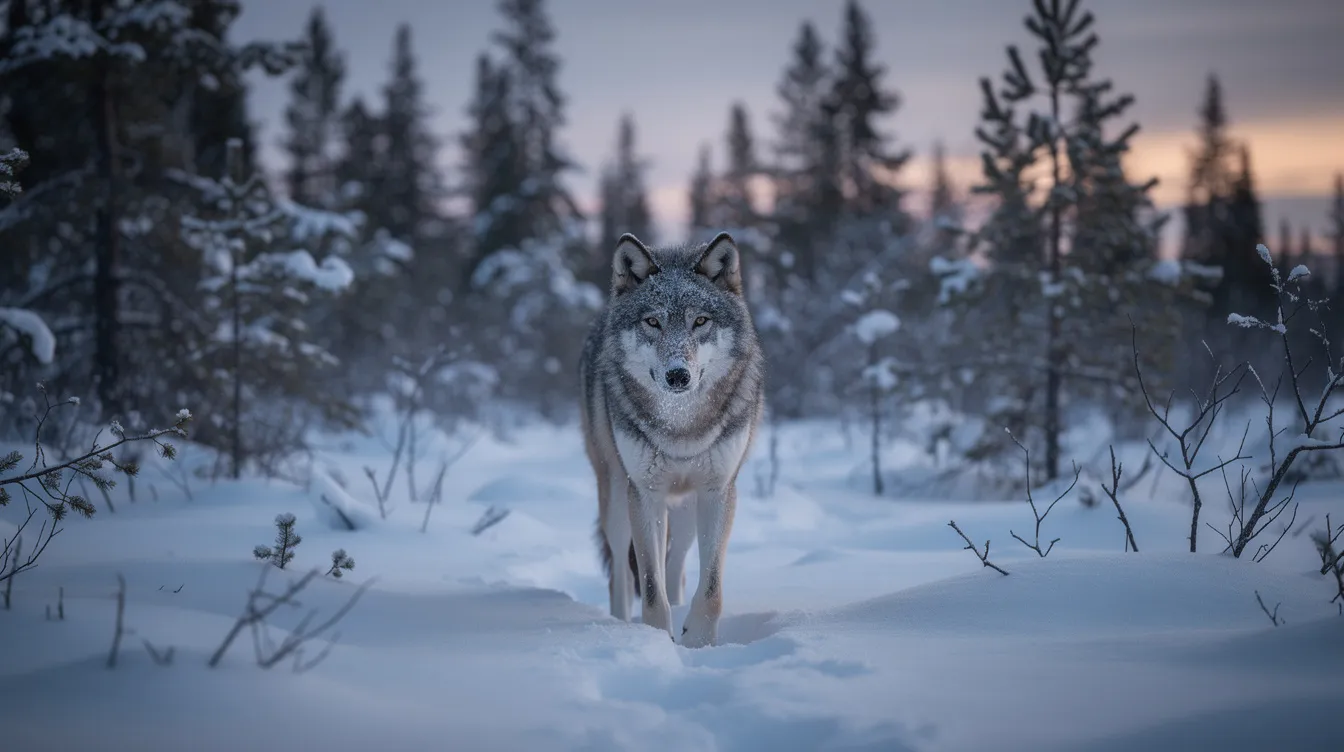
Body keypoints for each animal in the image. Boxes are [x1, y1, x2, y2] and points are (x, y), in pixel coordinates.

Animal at [579, 231, 765, 648]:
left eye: (700, 321)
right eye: (653, 322)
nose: (678, 375)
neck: (682, 427)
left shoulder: (717, 492)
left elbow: (710, 587)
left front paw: (698, 642)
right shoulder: (645, 494)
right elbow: (650, 585)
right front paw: (654, 640)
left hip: (684, 512)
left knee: (676, 565)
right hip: (617, 499)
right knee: (621, 574)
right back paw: (622, 625)